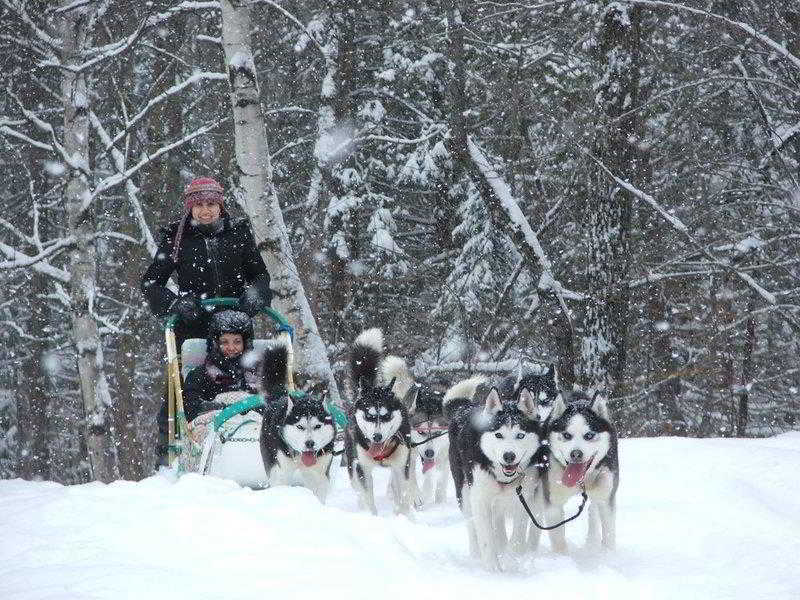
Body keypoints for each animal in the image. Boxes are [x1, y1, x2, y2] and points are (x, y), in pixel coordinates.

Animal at [260, 338, 336, 502]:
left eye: (317, 426)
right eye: (300, 427)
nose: (309, 443)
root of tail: (280, 397)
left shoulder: (319, 474)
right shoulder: (281, 472)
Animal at [346, 328, 418, 516]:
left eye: (386, 416)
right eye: (369, 416)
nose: (377, 437)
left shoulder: (401, 467)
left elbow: (403, 496)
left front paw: (403, 516)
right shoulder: (363, 469)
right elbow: (369, 500)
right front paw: (373, 517)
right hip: (352, 465)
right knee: (358, 490)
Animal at [444, 378, 544, 568]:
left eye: (520, 435)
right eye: (498, 434)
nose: (509, 456)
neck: (504, 479)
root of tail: (464, 408)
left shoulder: (525, 498)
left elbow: (517, 537)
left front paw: (512, 560)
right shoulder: (480, 499)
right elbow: (486, 539)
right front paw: (493, 569)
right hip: (464, 492)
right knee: (472, 526)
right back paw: (476, 555)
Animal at [536, 390, 620, 552]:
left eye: (589, 435)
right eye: (567, 435)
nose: (576, 454)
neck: (582, 481)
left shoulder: (606, 497)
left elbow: (609, 533)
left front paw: (608, 554)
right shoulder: (553, 503)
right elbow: (558, 540)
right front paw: (561, 557)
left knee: (593, 510)